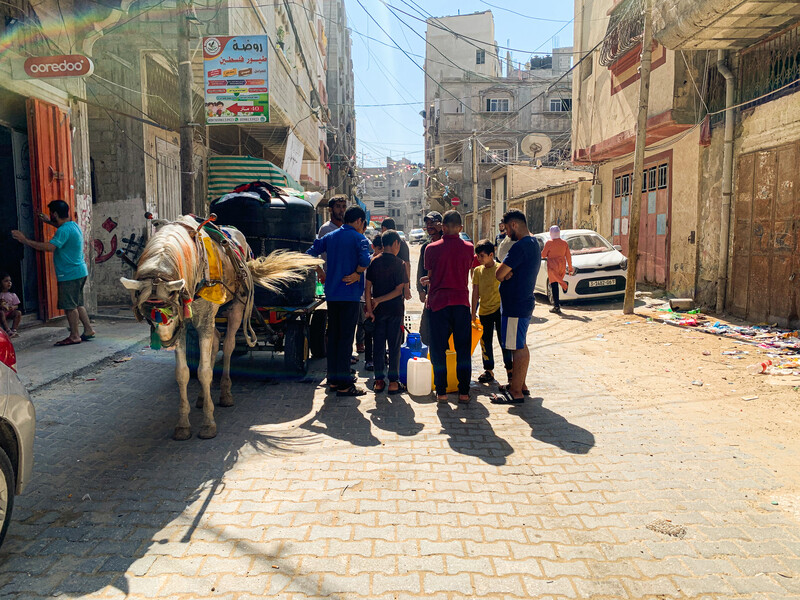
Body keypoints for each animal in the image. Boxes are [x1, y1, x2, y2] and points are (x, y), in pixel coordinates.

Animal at [119, 217, 318, 440]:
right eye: (146, 311)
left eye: (170, 310)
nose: (166, 341)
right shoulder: (185, 324)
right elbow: (183, 373)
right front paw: (183, 424)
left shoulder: (200, 320)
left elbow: (205, 371)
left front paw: (208, 423)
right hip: (216, 315)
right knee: (215, 342)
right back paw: (201, 397)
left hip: (236, 308)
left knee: (229, 345)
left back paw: (225, 392)